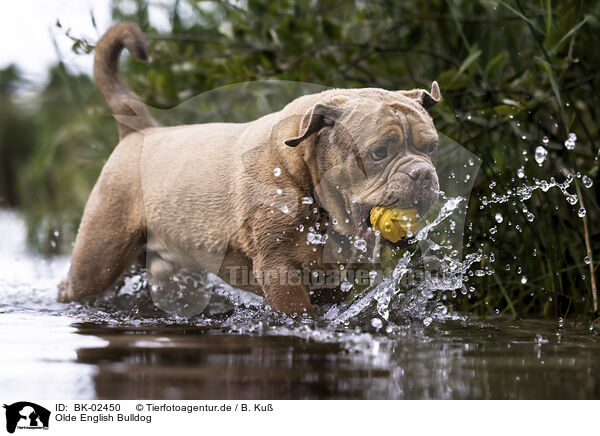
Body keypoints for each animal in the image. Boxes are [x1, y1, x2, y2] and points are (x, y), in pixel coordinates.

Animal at [57, 23, 440, 314]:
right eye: (378, 152)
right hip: (98, 256)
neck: (305, 178)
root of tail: (139, 133)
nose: (422, 173)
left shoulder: (333, 279)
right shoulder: (278, 269)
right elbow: (297, 311)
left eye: (431, 147)